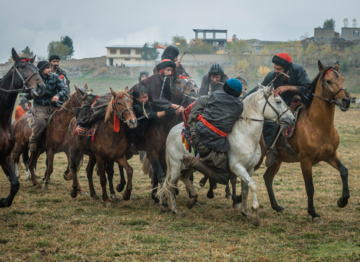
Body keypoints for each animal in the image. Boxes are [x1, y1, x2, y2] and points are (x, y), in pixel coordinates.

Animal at [0, 47, 45, 207]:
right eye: (22, 66)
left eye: (36, 68)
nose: (41, 86)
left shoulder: (4, 155)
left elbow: (15, 184)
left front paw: (5, 201)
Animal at [158, 83, 296, 225]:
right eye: (278, 101)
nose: (293, 119)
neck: (244, 134)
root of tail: (171, 131)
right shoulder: (237, 167)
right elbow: (252, 185)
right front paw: (255, 212)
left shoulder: (249, 169)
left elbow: (245, 189)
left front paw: (246, 212)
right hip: (175, 166)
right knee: (171, 184)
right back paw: (175, 209)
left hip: (189, 166)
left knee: (184, 177)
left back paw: (192, 199)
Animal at [262, 61, 352, 223]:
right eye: (328, 81)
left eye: (342, 79)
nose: (346, 101)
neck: (317, 125)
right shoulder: (305, 160)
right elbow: (310, 187)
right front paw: (313, 213)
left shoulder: (330, 155)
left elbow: (344, 171)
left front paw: (342, 201)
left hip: (277, 161)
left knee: (267, 178)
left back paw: (276, 206)